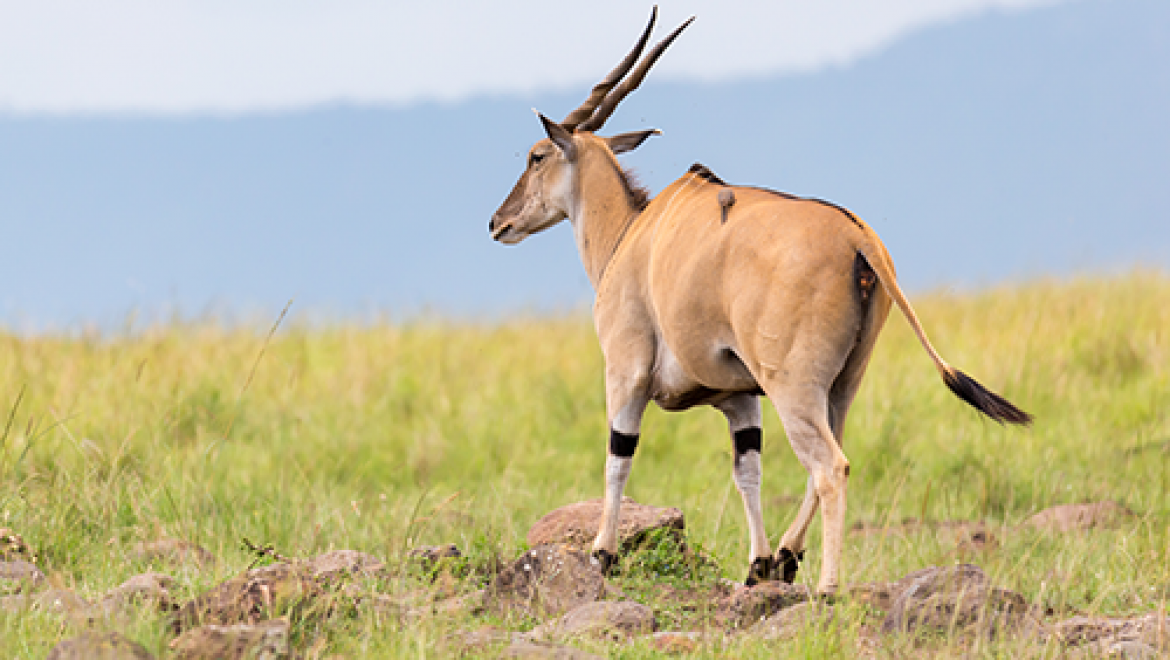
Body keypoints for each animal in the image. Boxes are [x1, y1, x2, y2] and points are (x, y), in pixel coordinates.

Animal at [489, 7, 1029, 594]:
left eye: (537, 155)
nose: (499, 222)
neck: (632, 234)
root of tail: (858, 237)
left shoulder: (626, 372)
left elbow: (618, 457)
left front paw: (602, 553)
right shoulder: (739, 398)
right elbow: (748, 471)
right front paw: (758, 562)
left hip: (793, 386)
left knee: (831, 467)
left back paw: (827, 585)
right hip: (840, 385)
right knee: (830, 457)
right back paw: (788, 557)